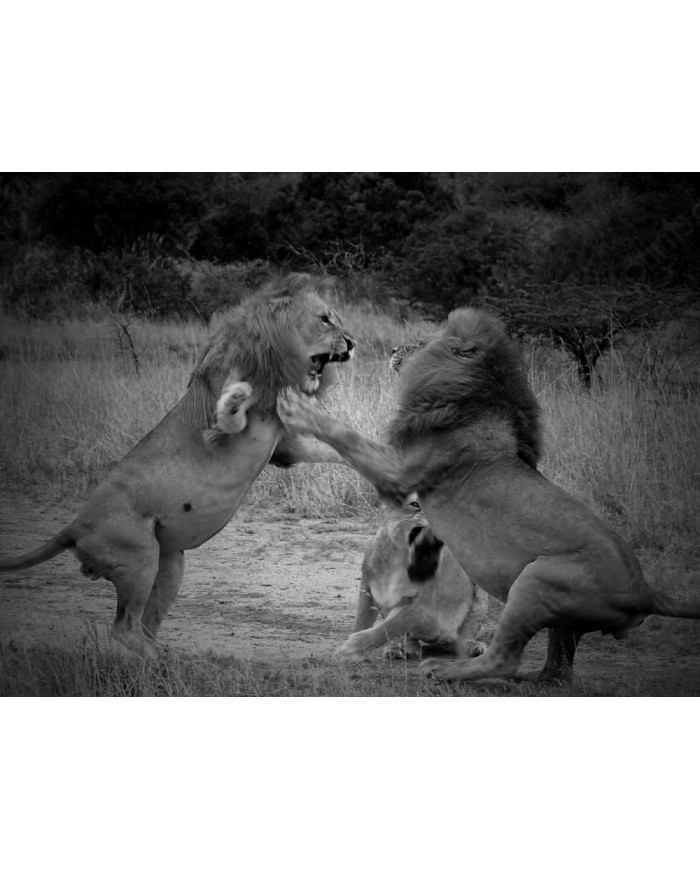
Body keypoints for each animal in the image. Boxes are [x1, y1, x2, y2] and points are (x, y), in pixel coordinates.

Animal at [0, 273, 355, 657]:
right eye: (324, 319)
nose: (352, 343)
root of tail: (75, 525)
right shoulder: (226, 425)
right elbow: (230, 410)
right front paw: (238, 395)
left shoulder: (285, 447)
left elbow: (330, 449)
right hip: (139, 556)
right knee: (123, 628)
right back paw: (159, 661)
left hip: (170, 563)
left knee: (143, 626)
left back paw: (169, 656)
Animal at [278, 306, 700, 682]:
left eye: (422, 343)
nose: (395, 348)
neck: (473, 399)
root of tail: (646, 591)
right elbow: (342, 447)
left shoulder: (399, 471)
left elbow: (346, 435)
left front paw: (299, 408)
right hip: (556, 615)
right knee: (557, 671)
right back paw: (527, 678)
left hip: (534, 581)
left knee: (503, 660)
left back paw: (444, 670)